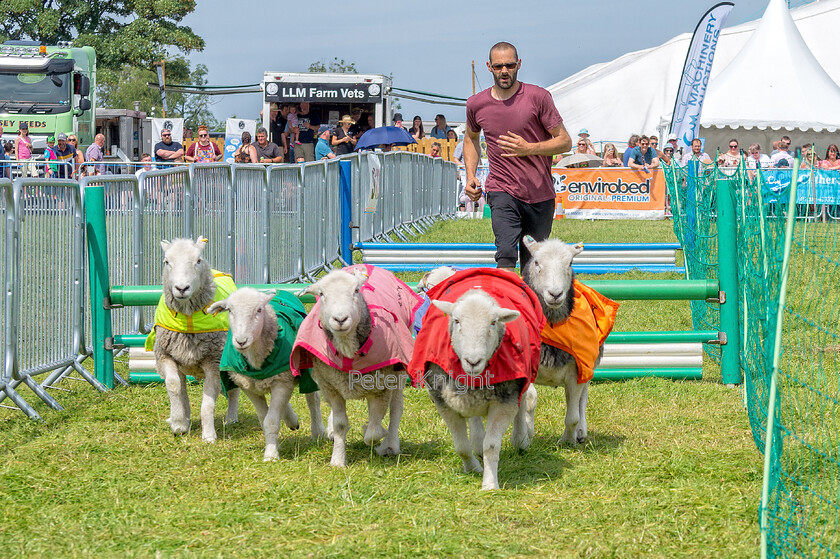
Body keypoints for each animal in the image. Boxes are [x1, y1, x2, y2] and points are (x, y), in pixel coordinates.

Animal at [145, 236, 240, 442]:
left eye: (198, 260)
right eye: (166, 261)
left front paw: (209, 435)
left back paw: (231, 418)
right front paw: (178, 423)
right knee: (183, 391)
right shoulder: (165, 356)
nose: (182, 288)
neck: (188, 317)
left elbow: (208, 402)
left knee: (234, 388)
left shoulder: (213, 362)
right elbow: (174, 386)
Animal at [208, 290, 326, 462]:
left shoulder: (282, 382)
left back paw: (318, 432)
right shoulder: (249, 386)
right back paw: (292, 420)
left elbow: (271, 421)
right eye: (229, 310)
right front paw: (274, 446)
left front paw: (271, 455)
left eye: (259, 310)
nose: (241, 341)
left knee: (313, 401)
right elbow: (264, 419)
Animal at [290, 264, 424, 466]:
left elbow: (374, 432)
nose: (340, 319)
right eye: (321, 293)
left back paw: (390, 444)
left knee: (395, 408)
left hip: (396, 374)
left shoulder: (382, 386)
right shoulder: (331, 386)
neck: (347, 348)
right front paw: (337, 460)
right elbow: (340, 424)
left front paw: (371, 431)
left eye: (356, 290)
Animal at [406, 268, 544, 490]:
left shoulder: (505, 401)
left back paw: (521, 439)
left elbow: (492, 445)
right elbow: (461, 446)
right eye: (456, 321)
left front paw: (490, 484)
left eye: (493, 322)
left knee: (524, 401)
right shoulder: (443, 401)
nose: (473, 361)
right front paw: (473, 468)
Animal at [520, 236, 620, 446]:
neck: (552, 324)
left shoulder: (578, 370)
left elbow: (573, 414)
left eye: (570, 263)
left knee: (583, 399)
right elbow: (530, 400)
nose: (555, 294)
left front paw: (567, 441)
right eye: (536, 262)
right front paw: (526, 434)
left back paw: (581, 431)